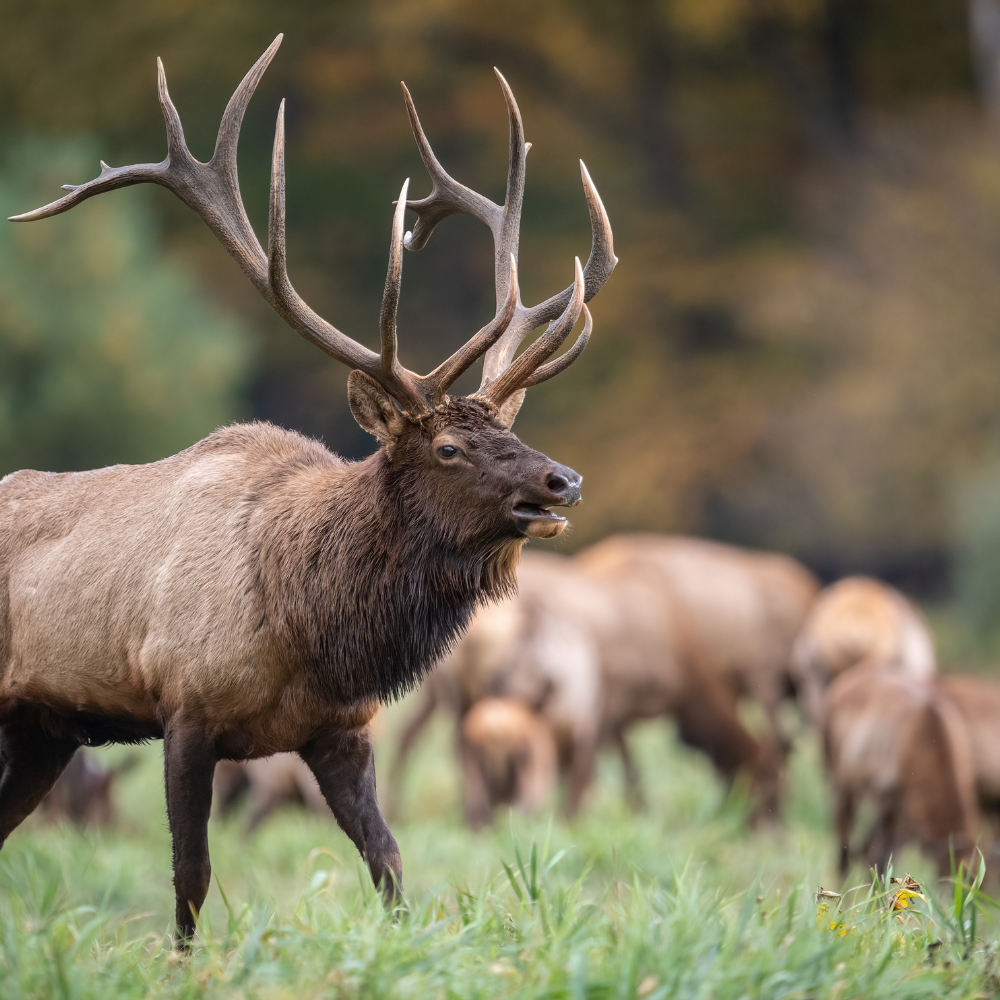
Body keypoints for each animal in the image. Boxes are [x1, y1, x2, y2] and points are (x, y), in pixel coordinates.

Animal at [0, 35, 616, 942]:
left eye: (510, 429)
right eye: (448, 446)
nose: (562, 479)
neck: (304, 622)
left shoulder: (341, 730)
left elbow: (389, 860)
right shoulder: (184, 708)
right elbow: (191, 875)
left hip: (43, 729)